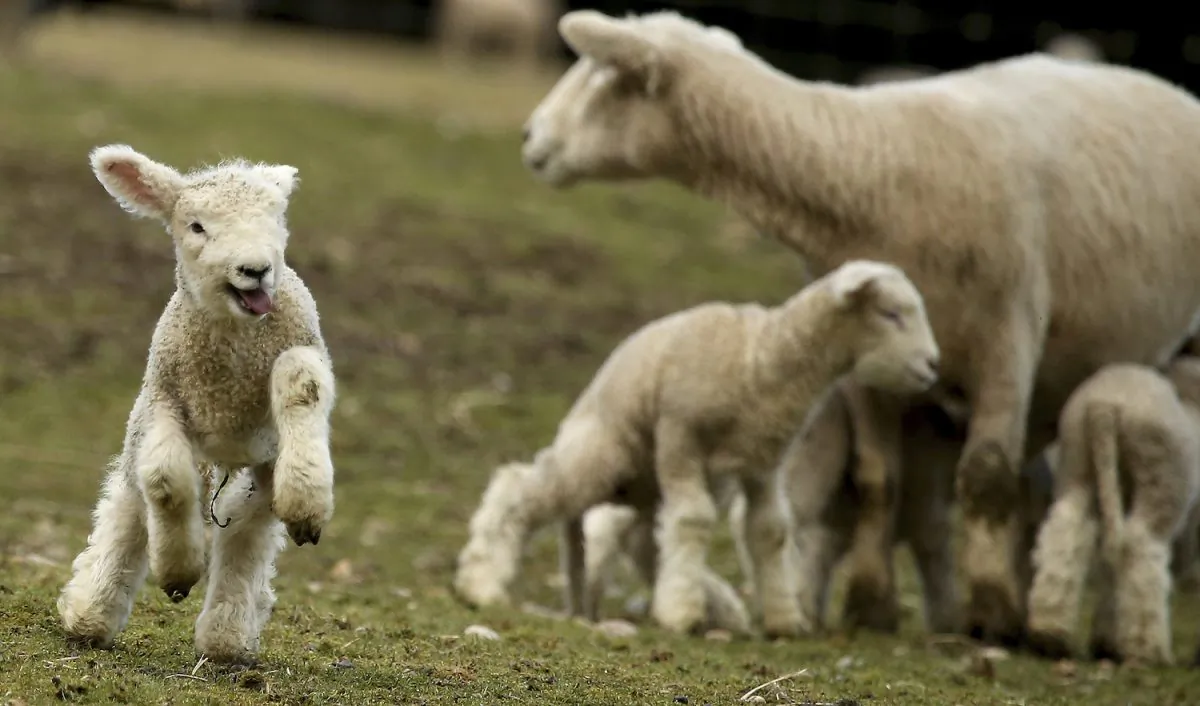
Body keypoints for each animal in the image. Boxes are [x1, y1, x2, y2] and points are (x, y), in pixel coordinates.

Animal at [56, 145, 336, 666]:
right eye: (197, 226)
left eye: (275, 217)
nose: (255, 270)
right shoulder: (163, 402)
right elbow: (164, 481)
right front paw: (177, 569)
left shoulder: (300, 348)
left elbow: (301, 382)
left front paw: (307, 501)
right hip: (150, 435)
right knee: (131, 509)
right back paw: (90, 616)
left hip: (260, 464)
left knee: (246, 530)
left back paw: (226, 638)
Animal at [454, 259, 940, 636]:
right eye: (892, 313)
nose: (934, 365)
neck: (760, 360)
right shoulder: (679, 437)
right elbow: (694, 520)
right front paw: (680, 613)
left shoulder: (761, 465)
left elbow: (769, 530)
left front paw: (784, 619)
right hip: (606, 454)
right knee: (523, 489)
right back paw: (482, 581)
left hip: (649, 484)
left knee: (643, 540)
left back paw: (717, 605)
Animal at [1025, 359, 1200, 666]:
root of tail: (1103, 404)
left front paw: (1106, 640)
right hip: (1159, 477)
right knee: (1140, 550)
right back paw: (1147, 648)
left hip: (1077, 460)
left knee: (1068, 532)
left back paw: (1050, 632)